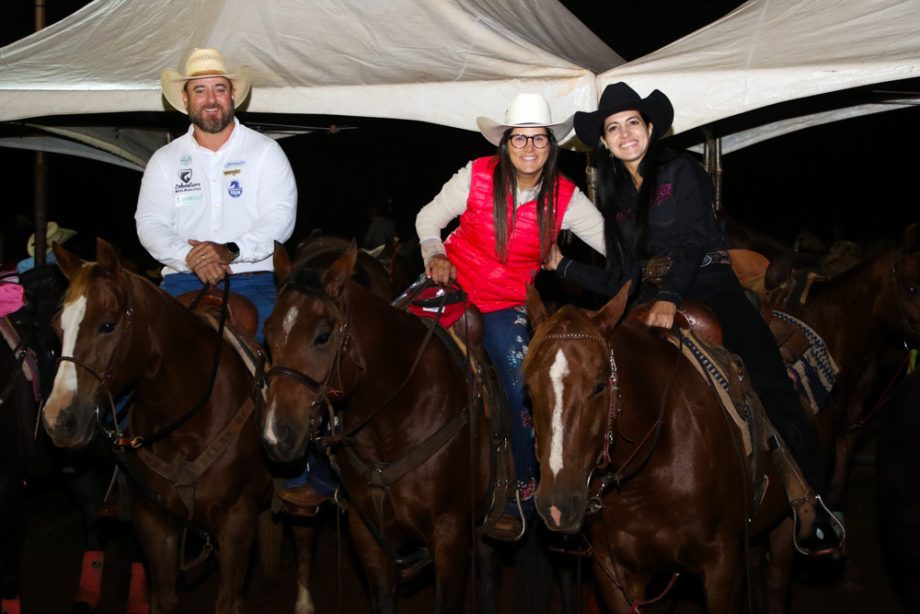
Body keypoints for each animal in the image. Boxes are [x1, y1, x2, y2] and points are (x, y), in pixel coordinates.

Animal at [38, 241, 302, 614]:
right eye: (57, 326)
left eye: (108, 325)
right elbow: (162, 597)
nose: (58, 420)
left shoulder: (237, 522)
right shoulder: (153, 521)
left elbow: (229, 600)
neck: (187, 424)